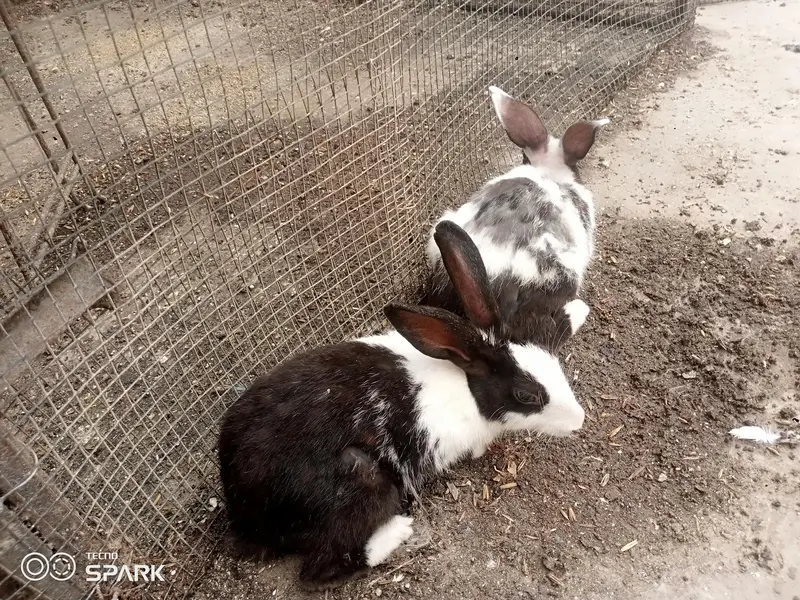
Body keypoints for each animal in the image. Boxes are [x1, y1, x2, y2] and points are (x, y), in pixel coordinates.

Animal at [218, 219, 588, 588]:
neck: (466, 382)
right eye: (526, 395)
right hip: (365, 480)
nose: (579, 420)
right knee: (322, 567)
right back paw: (398, 531)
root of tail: (243, 509)